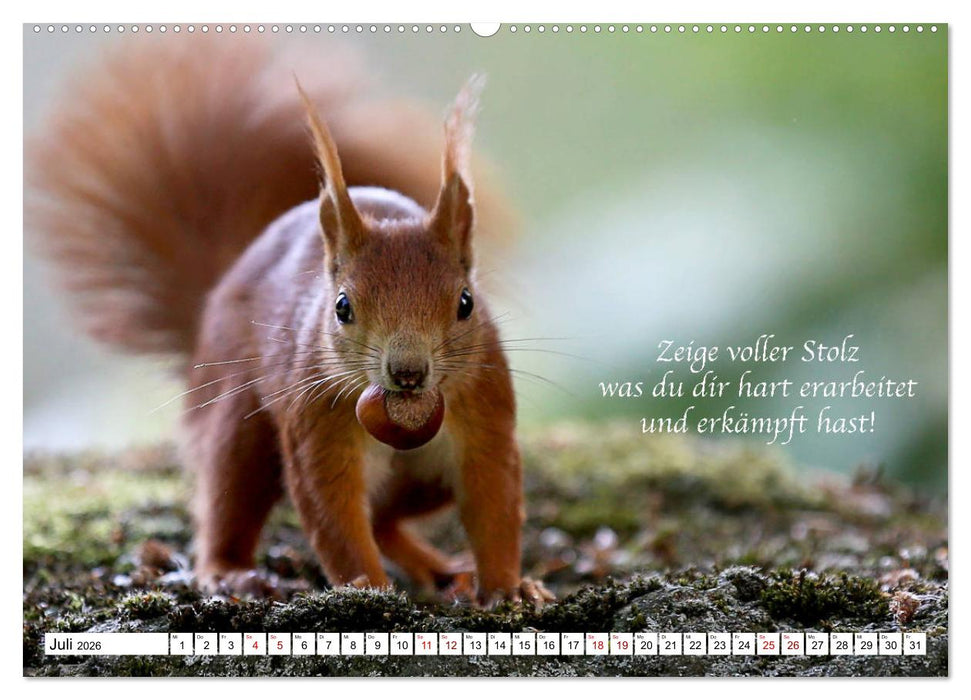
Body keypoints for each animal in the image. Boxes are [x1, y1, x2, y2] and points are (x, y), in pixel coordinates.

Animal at [27, 39, 553, 606]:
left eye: (466, 303)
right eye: (342, 307)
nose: (408, 373)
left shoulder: (485, 410)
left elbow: (494, 499)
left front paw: (508, 588)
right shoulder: (316, 415)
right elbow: (331, 508)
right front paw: (368, 589)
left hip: (421, 482)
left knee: (385, 519)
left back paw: (440, 570)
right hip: (239, 425)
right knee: (231, 499)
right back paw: (230, 572)